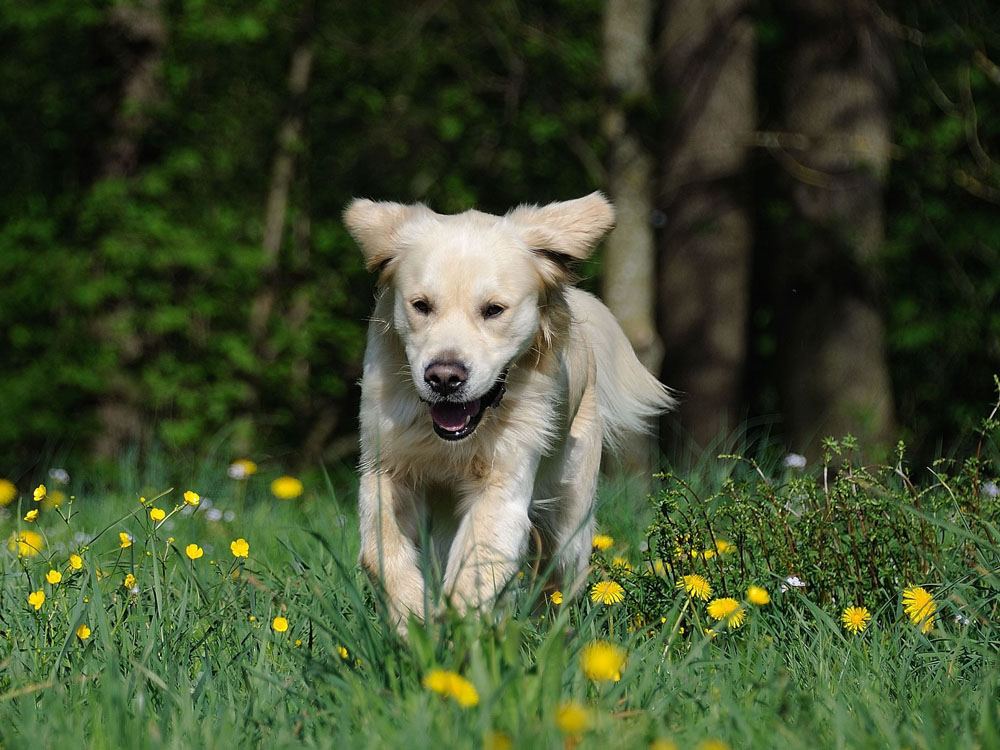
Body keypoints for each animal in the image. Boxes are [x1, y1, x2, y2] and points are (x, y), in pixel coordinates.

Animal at [342, 192, 672, 628]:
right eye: (421, 306)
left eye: (493, 310)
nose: (444, 377)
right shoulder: (386, 466)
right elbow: (380, 548)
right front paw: (413, 614)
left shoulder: (504, 482)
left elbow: (476, 566)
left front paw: (459, 630)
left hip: (570, 518)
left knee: (558, 579)